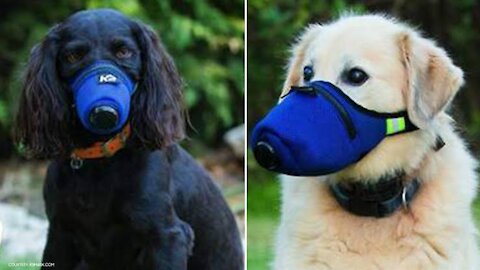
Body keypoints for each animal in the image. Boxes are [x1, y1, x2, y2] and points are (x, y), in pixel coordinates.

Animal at [15, 8, 244, 270]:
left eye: (123, 52)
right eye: (73, 56)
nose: (103, 110)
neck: (100, 159)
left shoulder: (168, 236)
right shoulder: (59, 234)